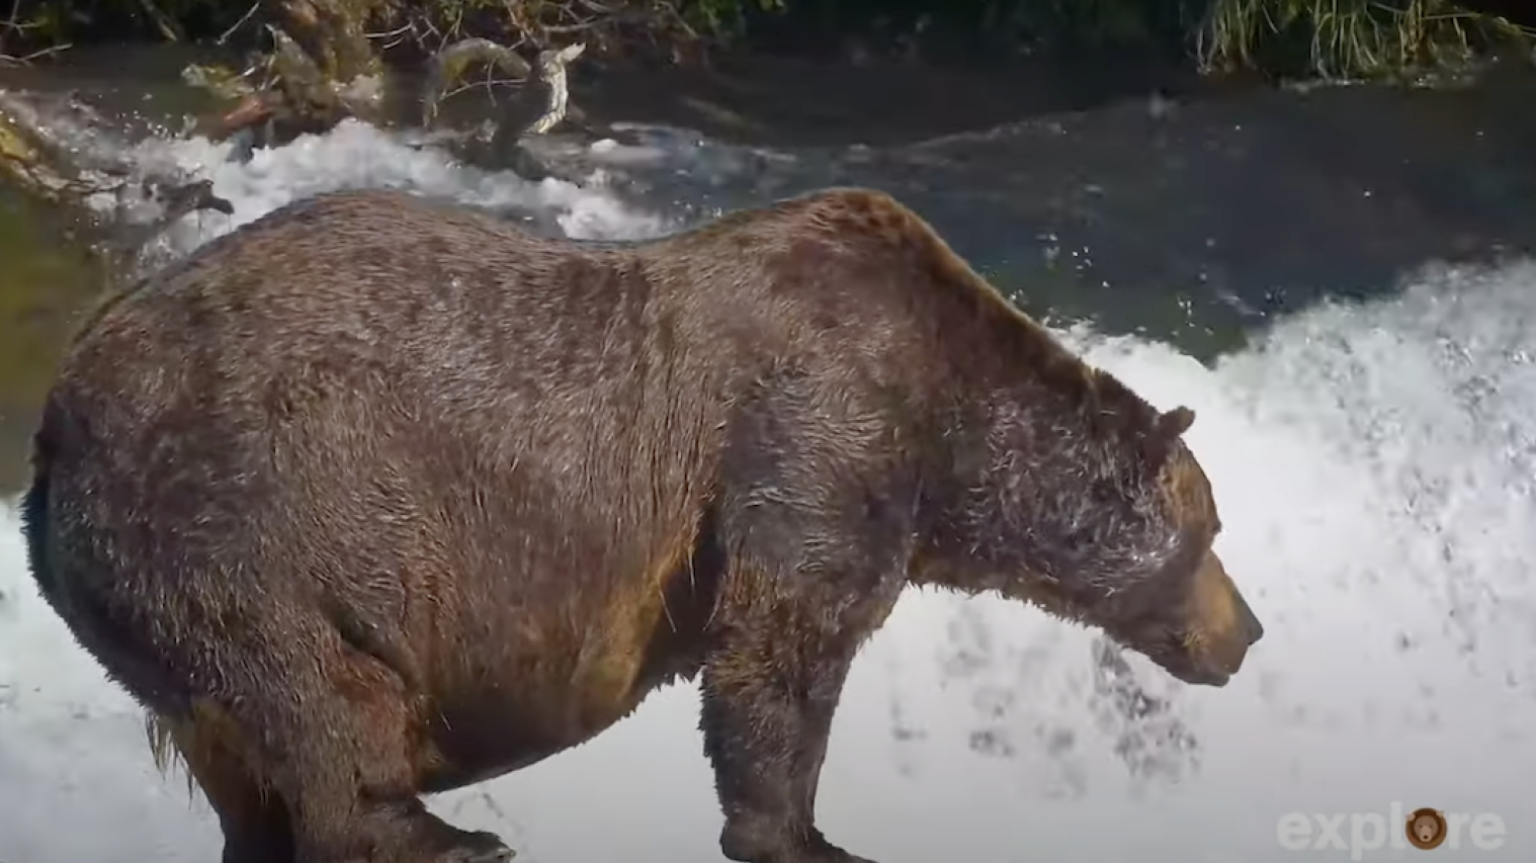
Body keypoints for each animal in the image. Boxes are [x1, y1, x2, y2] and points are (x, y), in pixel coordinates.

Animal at [24, 185, 1265, 853]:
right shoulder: (814, 433)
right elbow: (780, 658)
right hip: (237, 521)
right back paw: (447, 832)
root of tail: (53, 420)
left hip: (146, 602)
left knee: (246, 756)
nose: (1246, 633)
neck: (946, 431)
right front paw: (805, 832)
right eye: (1211, 534)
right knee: (324, 702)